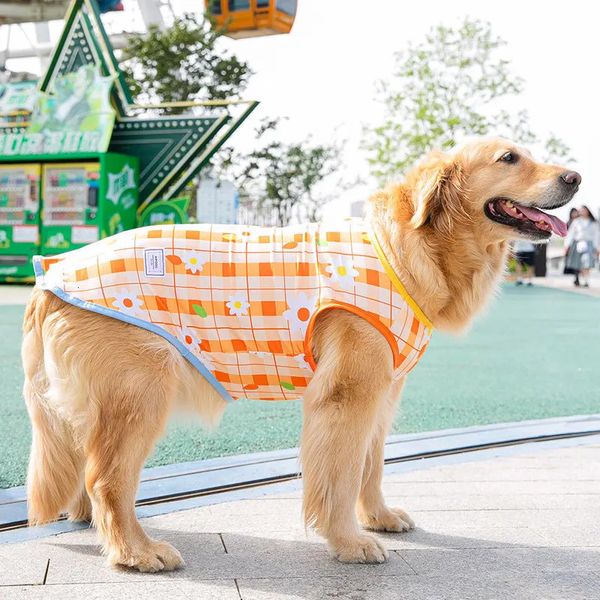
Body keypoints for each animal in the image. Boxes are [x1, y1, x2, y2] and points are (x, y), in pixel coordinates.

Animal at [23, 138, 580, 568]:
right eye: (509, 157)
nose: (576, 177)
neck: (402, 249)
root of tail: (51, 271)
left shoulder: (382, 394)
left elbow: (371, 466)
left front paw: (378, 518)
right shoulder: (346, 396)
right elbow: (339, 475)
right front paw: (349, 541)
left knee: (87, 465)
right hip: (142, 392)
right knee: (106, 479)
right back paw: (135, 552)